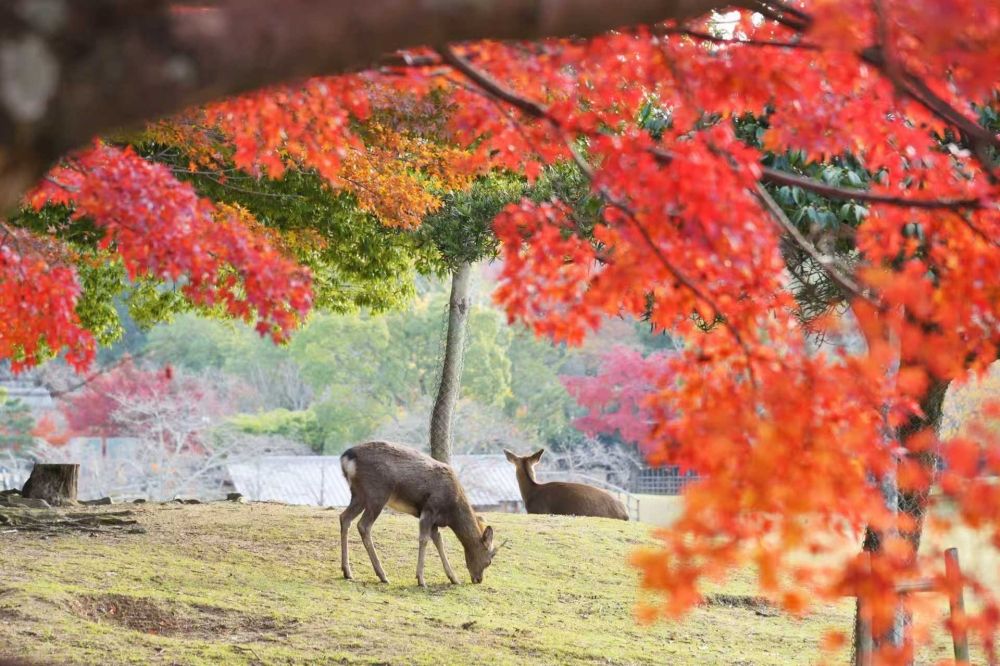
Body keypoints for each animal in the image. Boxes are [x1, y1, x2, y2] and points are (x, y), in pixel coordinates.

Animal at [339, 440, 498, 586]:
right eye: (489, 560)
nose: (478, 579)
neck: (452, 512)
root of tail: (346, 457)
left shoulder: (435, 521)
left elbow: (439, 541)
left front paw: (454, 578)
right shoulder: (429, 510)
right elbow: (424, 539)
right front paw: (421, 579)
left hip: (358, 494)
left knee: (344, 518)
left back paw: (347, 571)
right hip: (377, 494)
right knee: (363, 525)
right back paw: (382, 575)